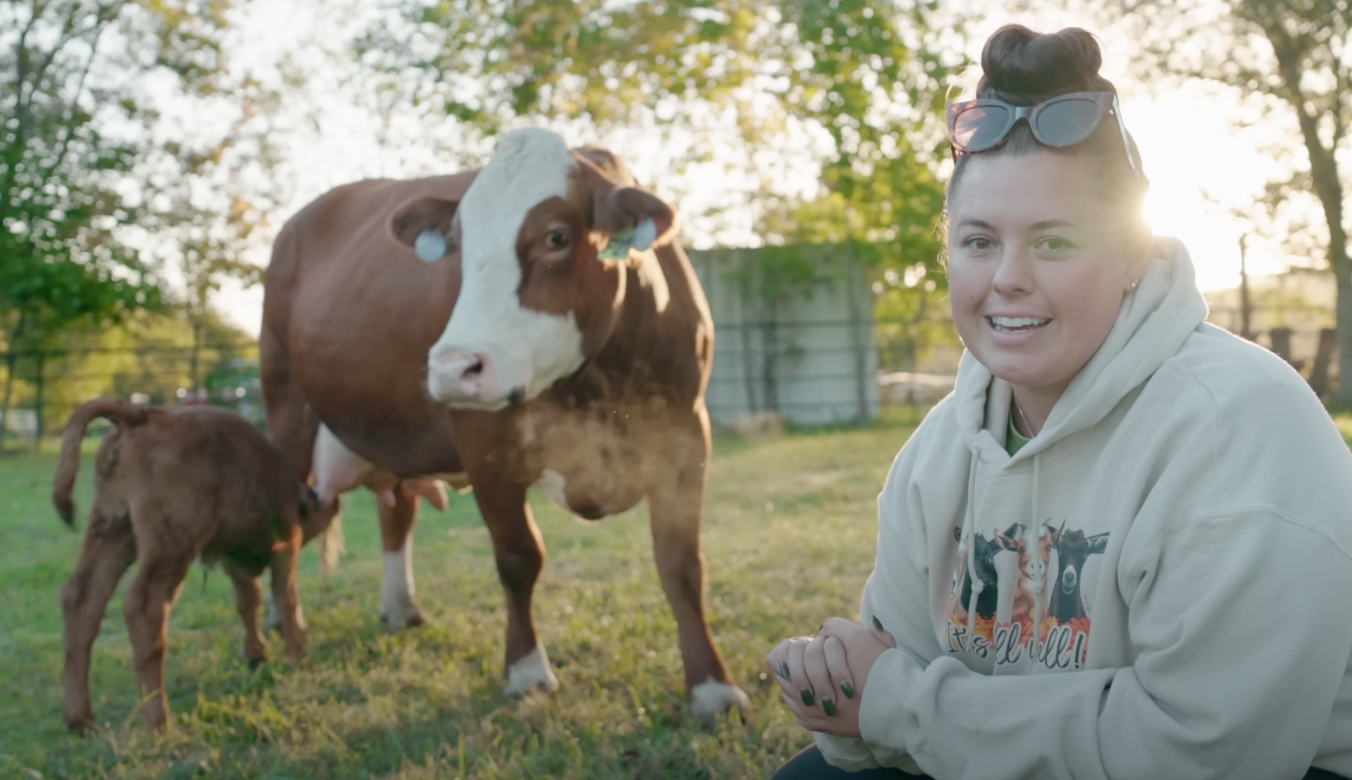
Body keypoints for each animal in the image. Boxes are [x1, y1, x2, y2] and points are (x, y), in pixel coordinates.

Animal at [258, 127, 750, 722]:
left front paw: (713, 687)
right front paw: (526, 671)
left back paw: (399, 607)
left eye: (556, 236)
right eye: (459, 246)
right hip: (286, 411)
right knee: (285, 524)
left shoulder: (684, 435)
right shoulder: (486, 446)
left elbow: (682, 565)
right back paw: (282, 619)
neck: (602, 384)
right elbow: (519, 558)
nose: (452, 368)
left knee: (393, 513)